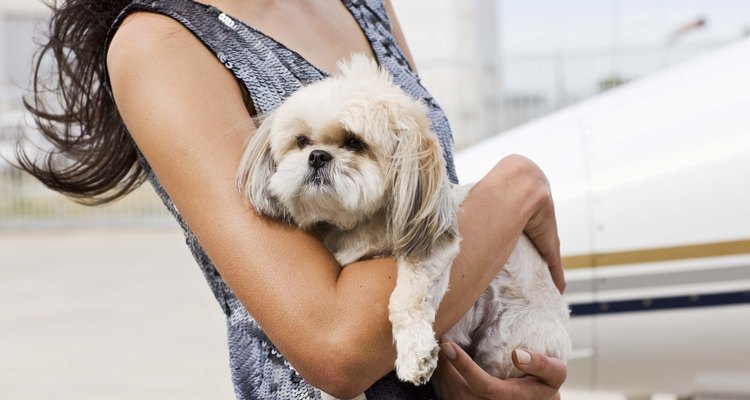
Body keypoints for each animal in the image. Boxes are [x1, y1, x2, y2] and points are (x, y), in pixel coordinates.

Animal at [238, 54, 572, 398]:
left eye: (355, 142)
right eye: (301, 141)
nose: (317, 156)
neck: (362, 223)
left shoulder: (433, 247)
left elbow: (407, 298)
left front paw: (416, 354)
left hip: (511, 341)